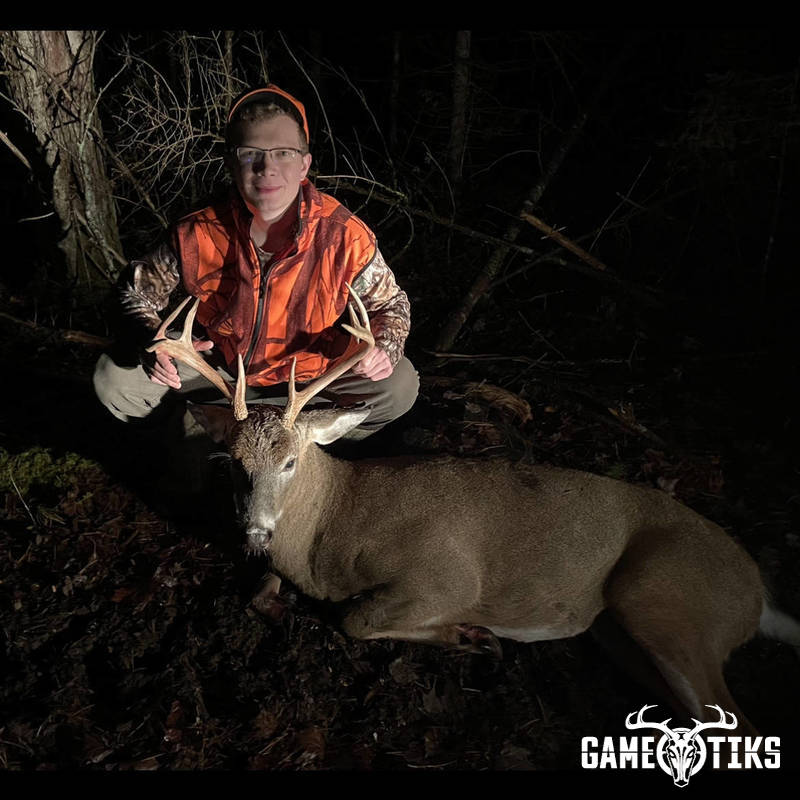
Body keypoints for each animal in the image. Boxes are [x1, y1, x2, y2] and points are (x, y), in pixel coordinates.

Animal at [148, 288, 800, 739]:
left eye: (290, 461)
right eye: (232, 463)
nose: (255, 530)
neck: (333, 531)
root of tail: (758, 594)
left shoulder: (446, 575)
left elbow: (355, 618)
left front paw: (471, 635)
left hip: (662, 595)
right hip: (623, 632)